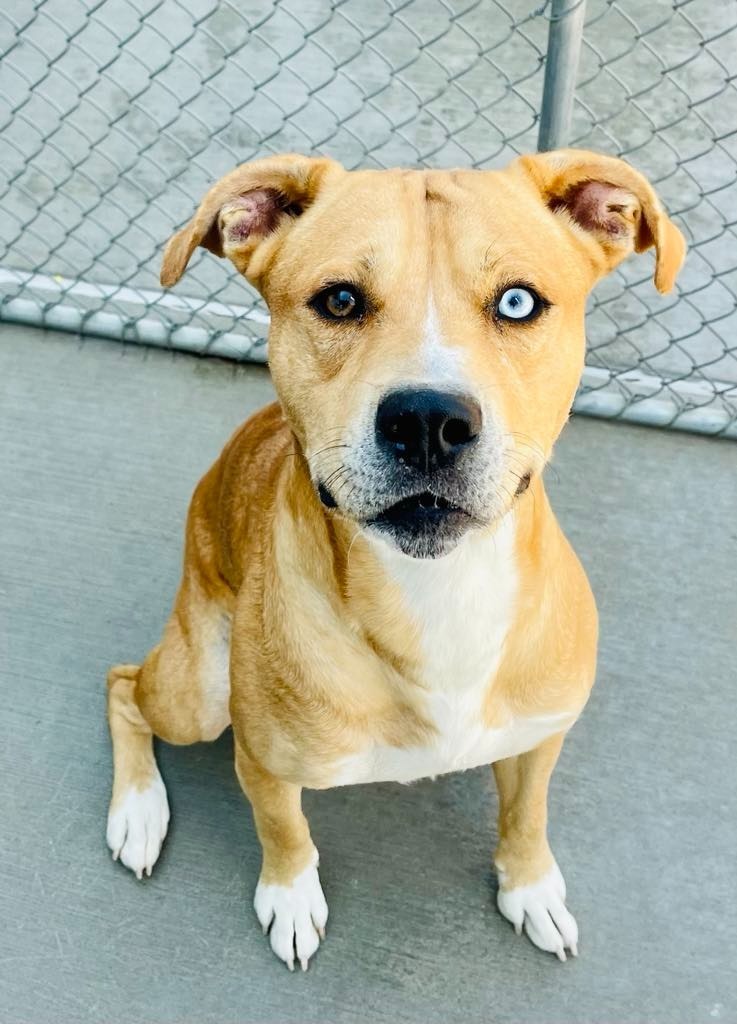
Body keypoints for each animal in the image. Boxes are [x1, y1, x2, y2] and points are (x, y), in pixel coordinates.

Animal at [103, 149, 683, 966]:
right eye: (340, 300)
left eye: (517, 303)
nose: (428, 420)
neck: (437, 592)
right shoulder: (265, 764)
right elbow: (284, 831)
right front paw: (290, 897)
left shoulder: (541, 735)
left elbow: (527, 814)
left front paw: (531, 885)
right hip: (200, 693)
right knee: (122, 685)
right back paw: (138, 813)